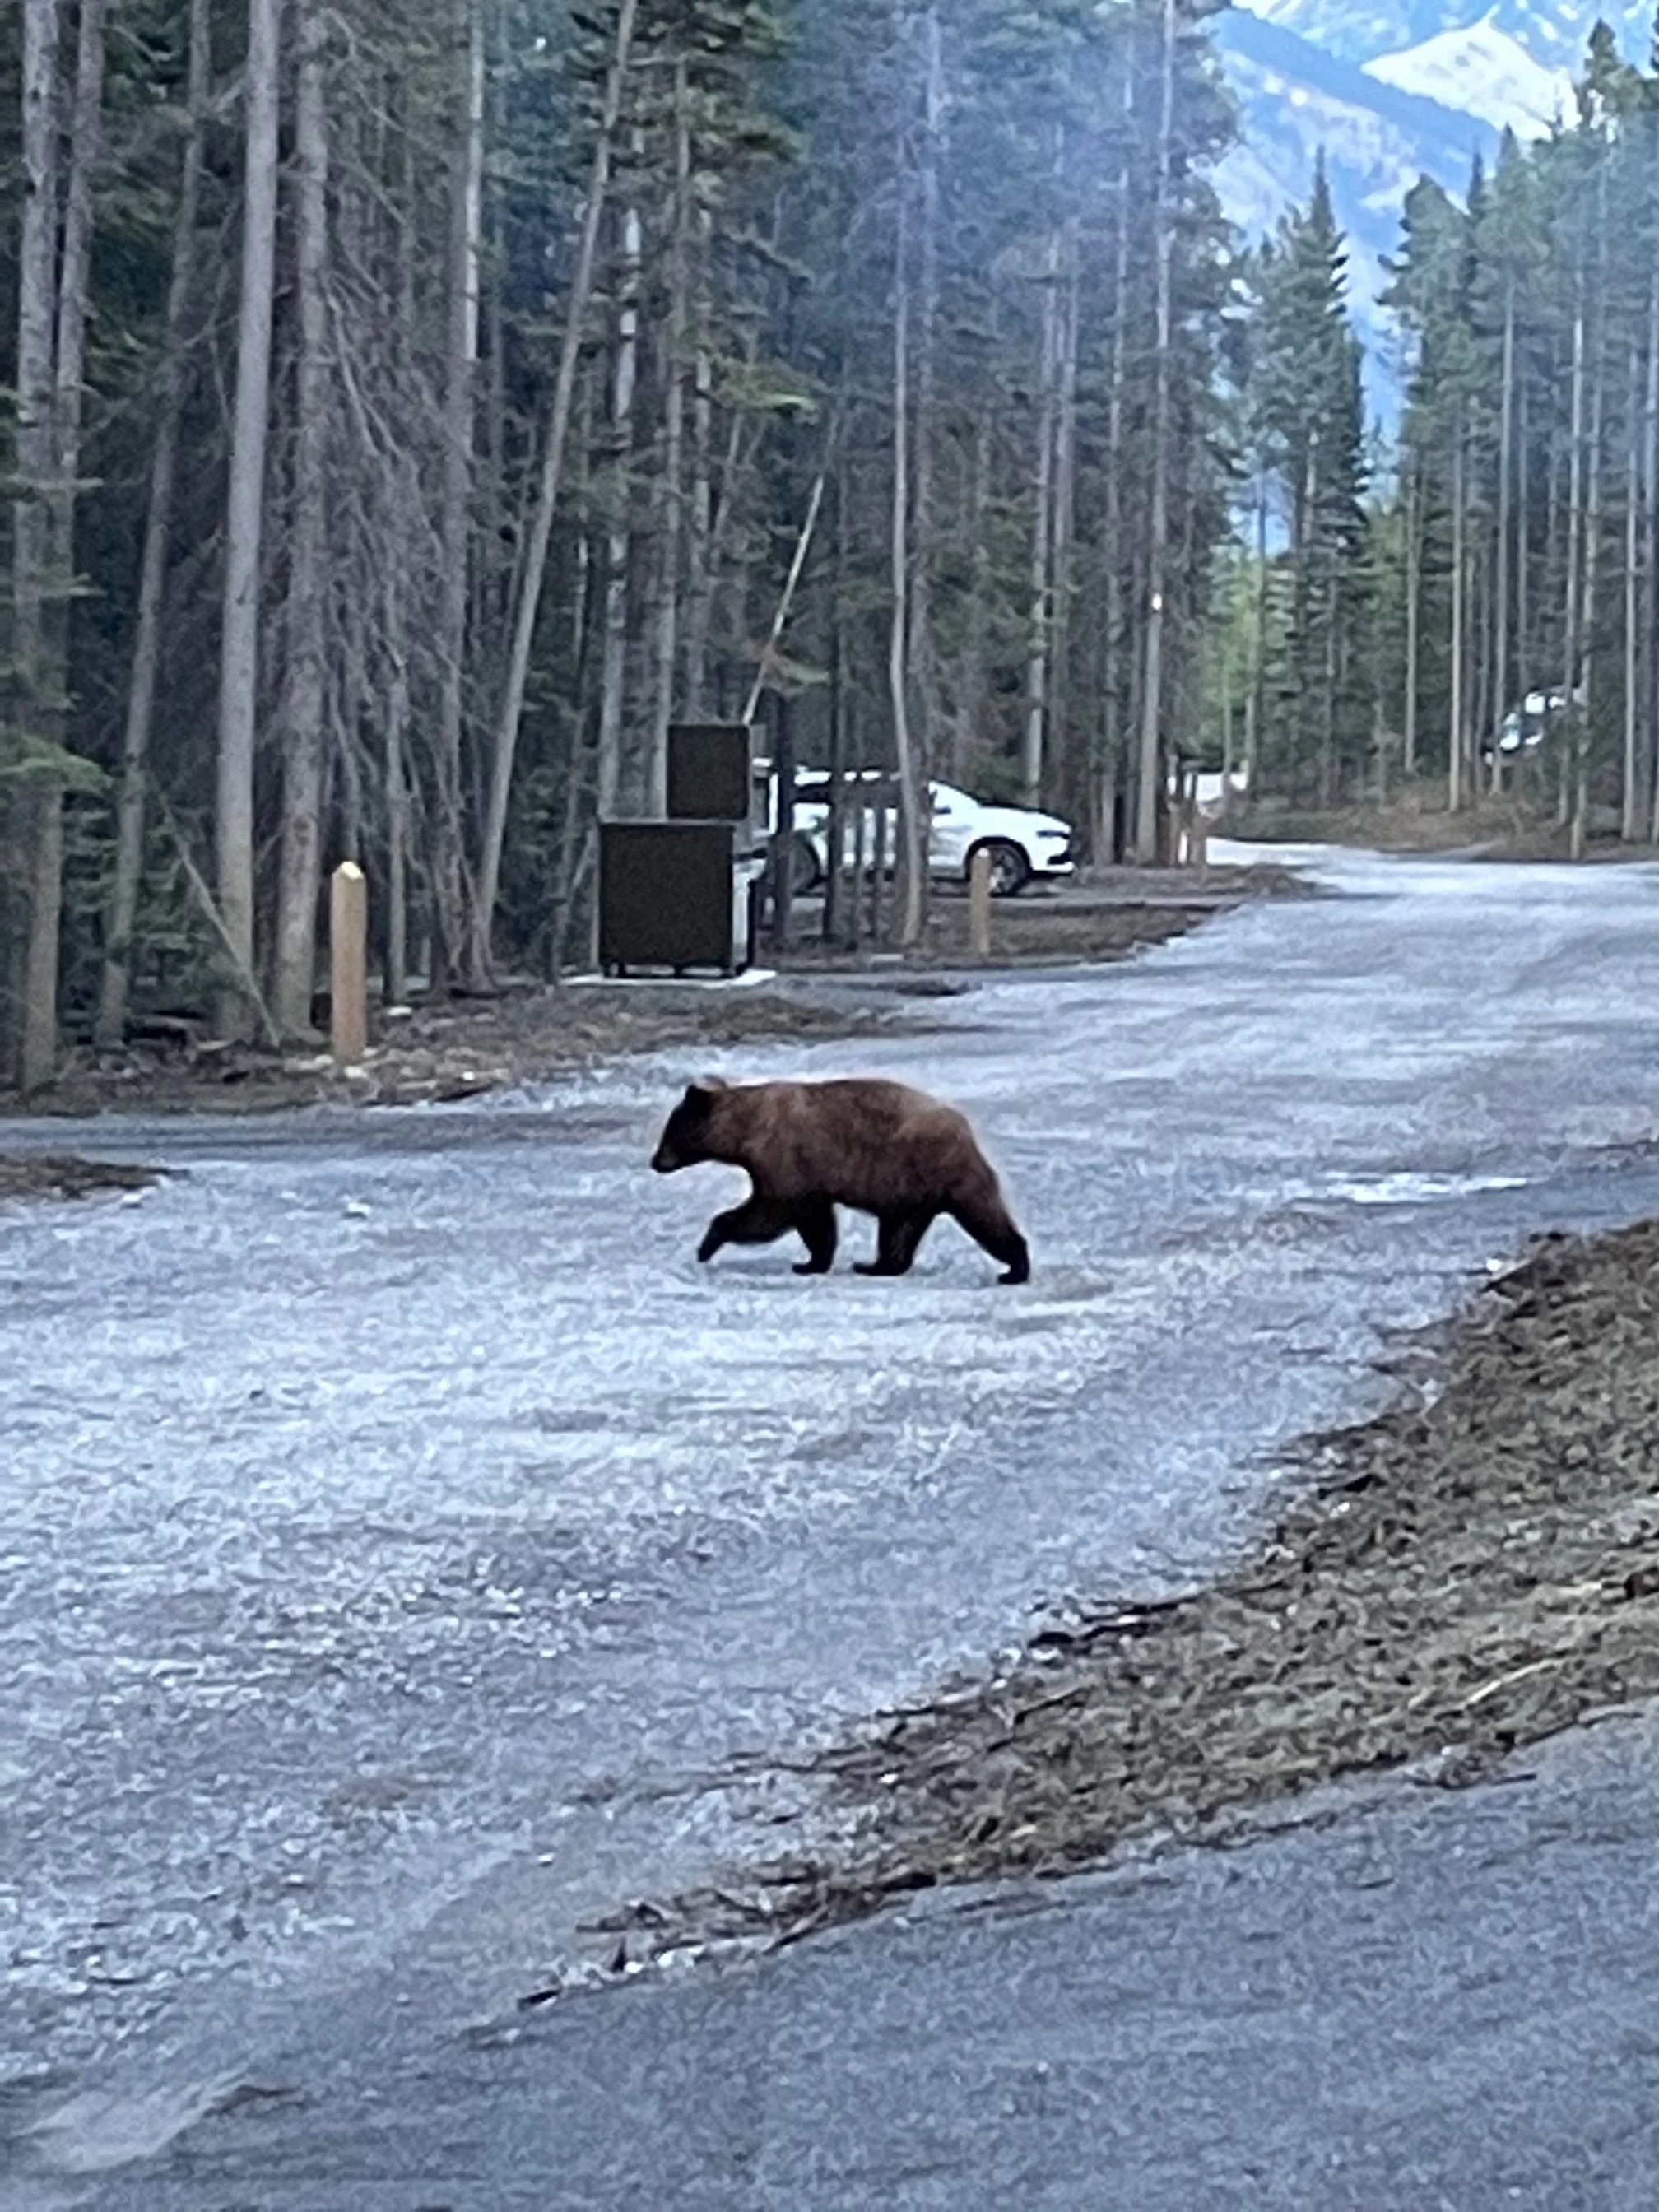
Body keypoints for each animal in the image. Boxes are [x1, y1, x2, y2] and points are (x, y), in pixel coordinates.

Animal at [649, 1075, 1030, 1285]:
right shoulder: (810, 1174)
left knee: (983, 1216)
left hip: (930, 1168)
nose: (655, 1162)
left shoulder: (783, 1156)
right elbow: (814, 1219)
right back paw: (876, 1265)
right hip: (909, 1189)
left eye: (670, 1130)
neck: (746, 1126)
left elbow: (771, 1211)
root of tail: (963, 1128)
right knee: (900, 1229)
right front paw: (810, 1263)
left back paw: (1014, 1268)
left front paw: (707, 1244)